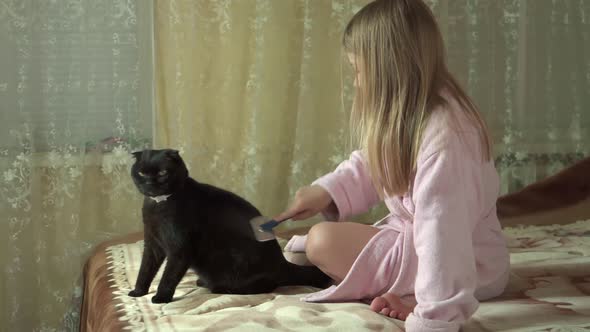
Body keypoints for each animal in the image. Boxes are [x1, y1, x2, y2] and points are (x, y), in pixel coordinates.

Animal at [128, 148, 332, 304]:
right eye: (141, 172)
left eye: (163, 173)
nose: (149, 183)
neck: (158, 204)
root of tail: (283, 263)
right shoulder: (152, 244)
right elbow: (145, 269)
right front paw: (138, 292)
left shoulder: (180, 249)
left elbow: (169, 275)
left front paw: (161, 297)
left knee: (266, 286)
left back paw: (219, 287)